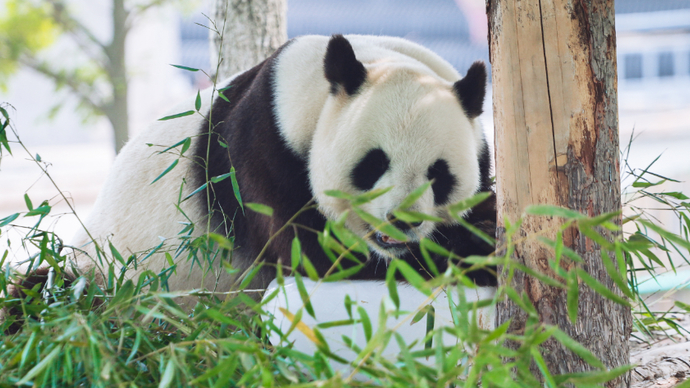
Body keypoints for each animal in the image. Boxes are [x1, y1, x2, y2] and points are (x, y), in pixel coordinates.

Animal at [13, 34, 494, 310]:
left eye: (439, 174)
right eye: (374, 164)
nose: (402, 221)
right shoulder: (262, 151)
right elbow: (321, 255)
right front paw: (478, 250)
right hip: (101, 269)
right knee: (50, 296)